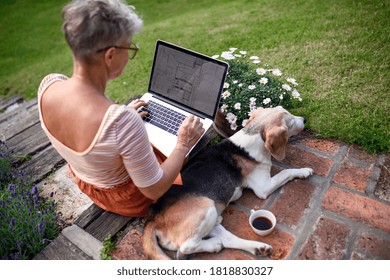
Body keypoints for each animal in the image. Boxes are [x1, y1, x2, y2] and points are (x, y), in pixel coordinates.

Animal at [143, 106, 314, 260]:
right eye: (290, 123)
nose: (304, 119)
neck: (253, 135)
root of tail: (153, 218)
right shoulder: (263, 187)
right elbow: (286, 172)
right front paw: (304, 170)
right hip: (207, 208)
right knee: (186, 247)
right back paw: (214, 245)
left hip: (212, 218)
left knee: (228, 239)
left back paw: (258, 248)